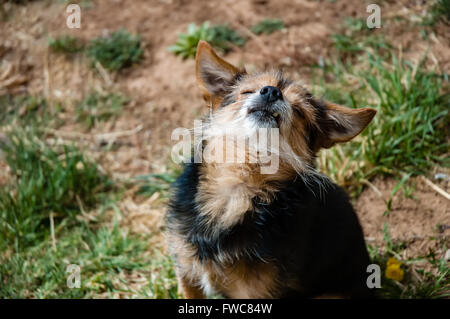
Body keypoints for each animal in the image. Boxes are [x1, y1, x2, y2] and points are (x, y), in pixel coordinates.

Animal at [165, 40, 376, 300]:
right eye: (248, 91)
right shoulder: (187, 274)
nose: (271, 91)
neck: (239, 183)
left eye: (299, 112)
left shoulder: (257, 293)